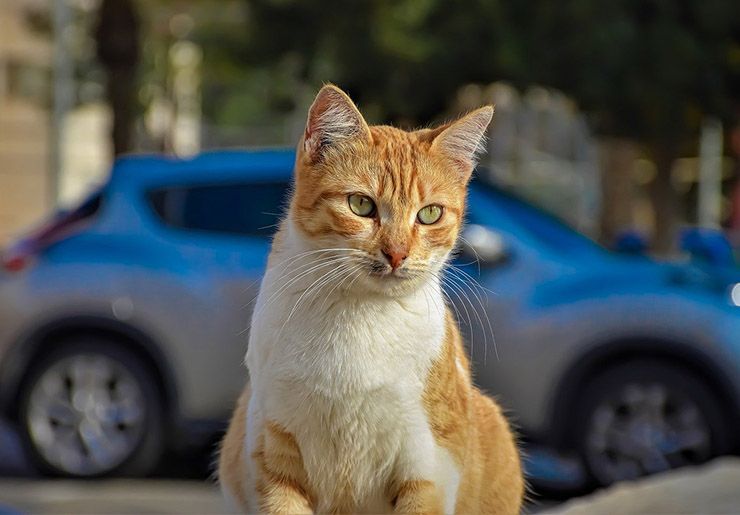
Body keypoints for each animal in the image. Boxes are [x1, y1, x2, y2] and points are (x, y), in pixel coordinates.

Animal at [217, 85, 524, 515]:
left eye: (430, 214)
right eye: (361, 205)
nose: (397, 253)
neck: (358, 315)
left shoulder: (426, 468)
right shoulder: (274, 457)